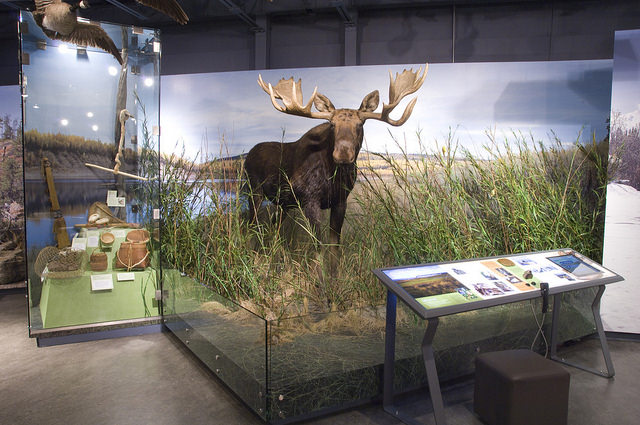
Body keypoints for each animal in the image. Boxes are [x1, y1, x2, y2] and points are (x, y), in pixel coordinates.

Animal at [245, 63, 430, 278]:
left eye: (360, 124)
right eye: (332, 124)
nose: (342, 153)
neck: (334, 176)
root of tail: (248, 155)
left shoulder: (341, 200)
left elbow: (335, 244)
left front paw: (335, 276)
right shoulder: (310, 200)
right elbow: (318, 245)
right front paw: (320, 278)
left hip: (284, 204)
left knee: (274, 227)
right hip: (254, 191)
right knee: (253, 225)